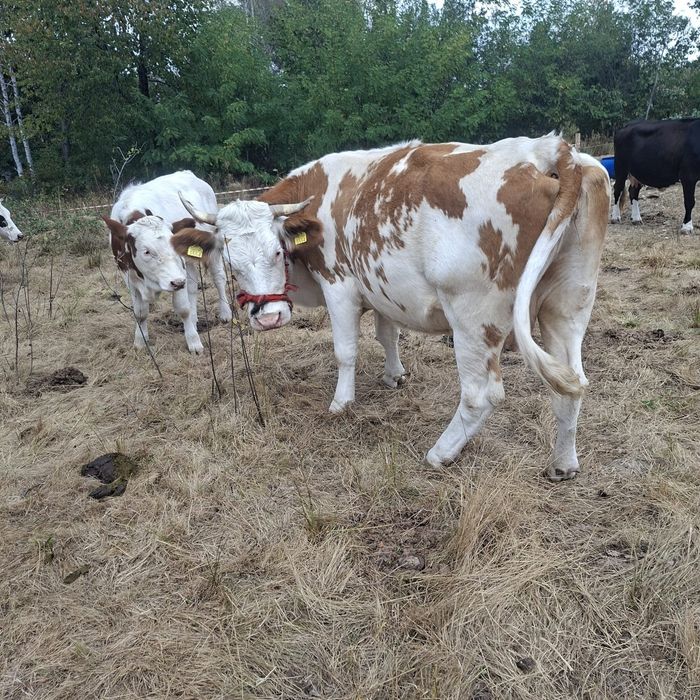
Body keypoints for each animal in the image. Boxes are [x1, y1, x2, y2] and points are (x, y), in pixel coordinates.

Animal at [104, 171, 232, 353]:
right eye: (146, 251)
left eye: (173, 245)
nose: (177, 282)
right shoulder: (129, 277)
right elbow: (140, 312)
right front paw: (140, 341)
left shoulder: (178, 274)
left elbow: (183, 309)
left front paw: (194, 342)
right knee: (192, 285)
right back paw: (194, 319)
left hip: (213, 248)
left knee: (219, 278)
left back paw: (225, 313)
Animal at [179, 135, 610, 480]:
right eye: (230, 263)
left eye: (277, 251)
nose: (268, 318)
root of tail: (546, 148)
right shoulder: (380, 287)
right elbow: (387, 334)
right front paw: (394, 375)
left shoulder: (339, 284)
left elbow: (346, 351)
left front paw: (341, 403)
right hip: (567, 305)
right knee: (572, 382)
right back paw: (563, 463)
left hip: (473, 315)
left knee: (481, 394)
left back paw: (440, 453)